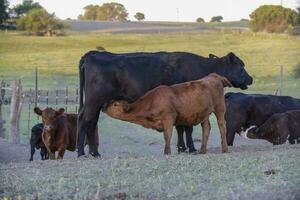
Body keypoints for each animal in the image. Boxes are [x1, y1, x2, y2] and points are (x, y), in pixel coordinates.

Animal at [103, 73, 232, 155]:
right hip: (204, 113)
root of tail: (213, 76)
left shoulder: (169, 117)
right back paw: (202, 150)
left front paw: (167, 152)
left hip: (220, 108)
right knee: (206, 128)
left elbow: (167, 135)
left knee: (222, 126)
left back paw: (225, 149)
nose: (103, 106)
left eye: (115, 104)